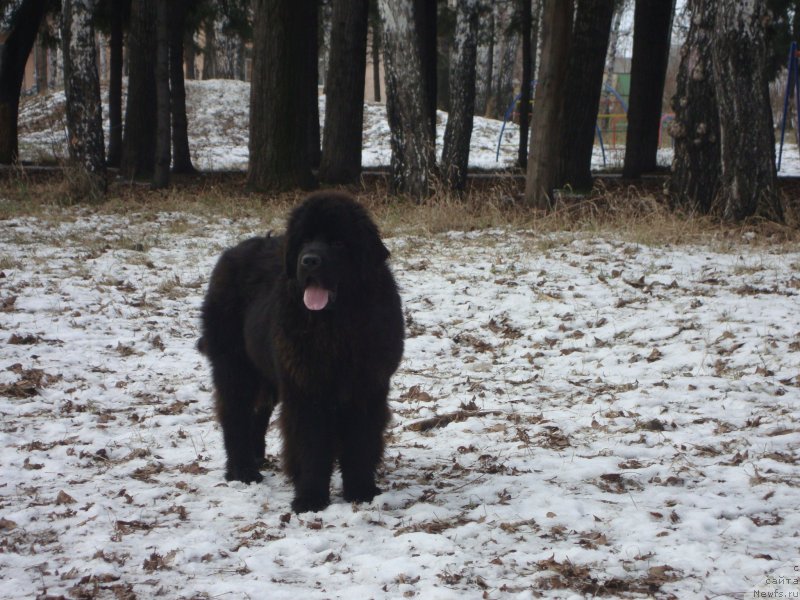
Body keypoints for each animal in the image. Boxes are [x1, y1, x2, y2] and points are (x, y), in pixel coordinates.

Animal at [198, 191, 404, 510]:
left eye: (338, 242)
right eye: (305, 241)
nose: (309, 261)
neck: (334, 326)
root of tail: (231, 253)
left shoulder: (368, 387)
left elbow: (361, 442)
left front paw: (361, 491)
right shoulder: (306, 388)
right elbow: (311, 445)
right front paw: (310, 498)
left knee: (258, 413)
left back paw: (256, 457)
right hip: (233, 365)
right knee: (234, 414)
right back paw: (242, 470)